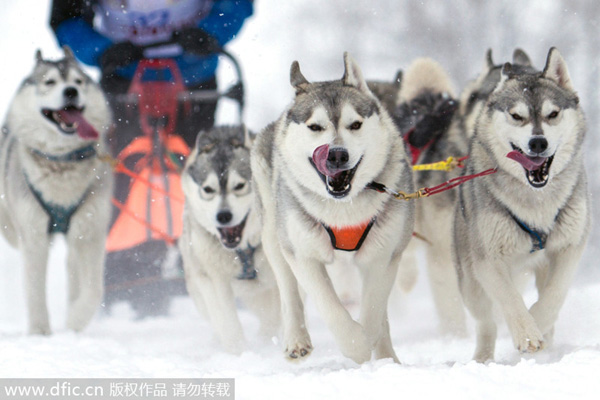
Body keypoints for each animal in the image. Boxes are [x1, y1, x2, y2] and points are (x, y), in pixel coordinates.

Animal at [179, 126, 280, 354]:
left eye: (240, 186)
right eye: (208, 189)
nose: (223, 216)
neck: (244, 251)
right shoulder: (215, 280)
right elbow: (227, 321)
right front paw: (237, 351)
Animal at [251, 52, 414, 362]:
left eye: (355, 125)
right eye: (315, 127)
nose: (337, 154)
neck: (343, 212)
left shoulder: (384, 254)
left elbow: (374, 310)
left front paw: (372, 343)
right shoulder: (303, 254)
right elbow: (330, 307)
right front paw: (356, 344)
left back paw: (387, 357)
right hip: (275, 238)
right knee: (290, 292)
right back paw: (296, 339)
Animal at [454, 47, 592, 362]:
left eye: (553, 114)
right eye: (517, 116)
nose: (538, 142)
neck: (536, 202)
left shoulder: (569, 247)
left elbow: (556, 293)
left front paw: (539, 323)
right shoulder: (488, 260)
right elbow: (508, 298)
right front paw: (528, 333)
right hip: (470, 283)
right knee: (486, 321)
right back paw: (483, 359)